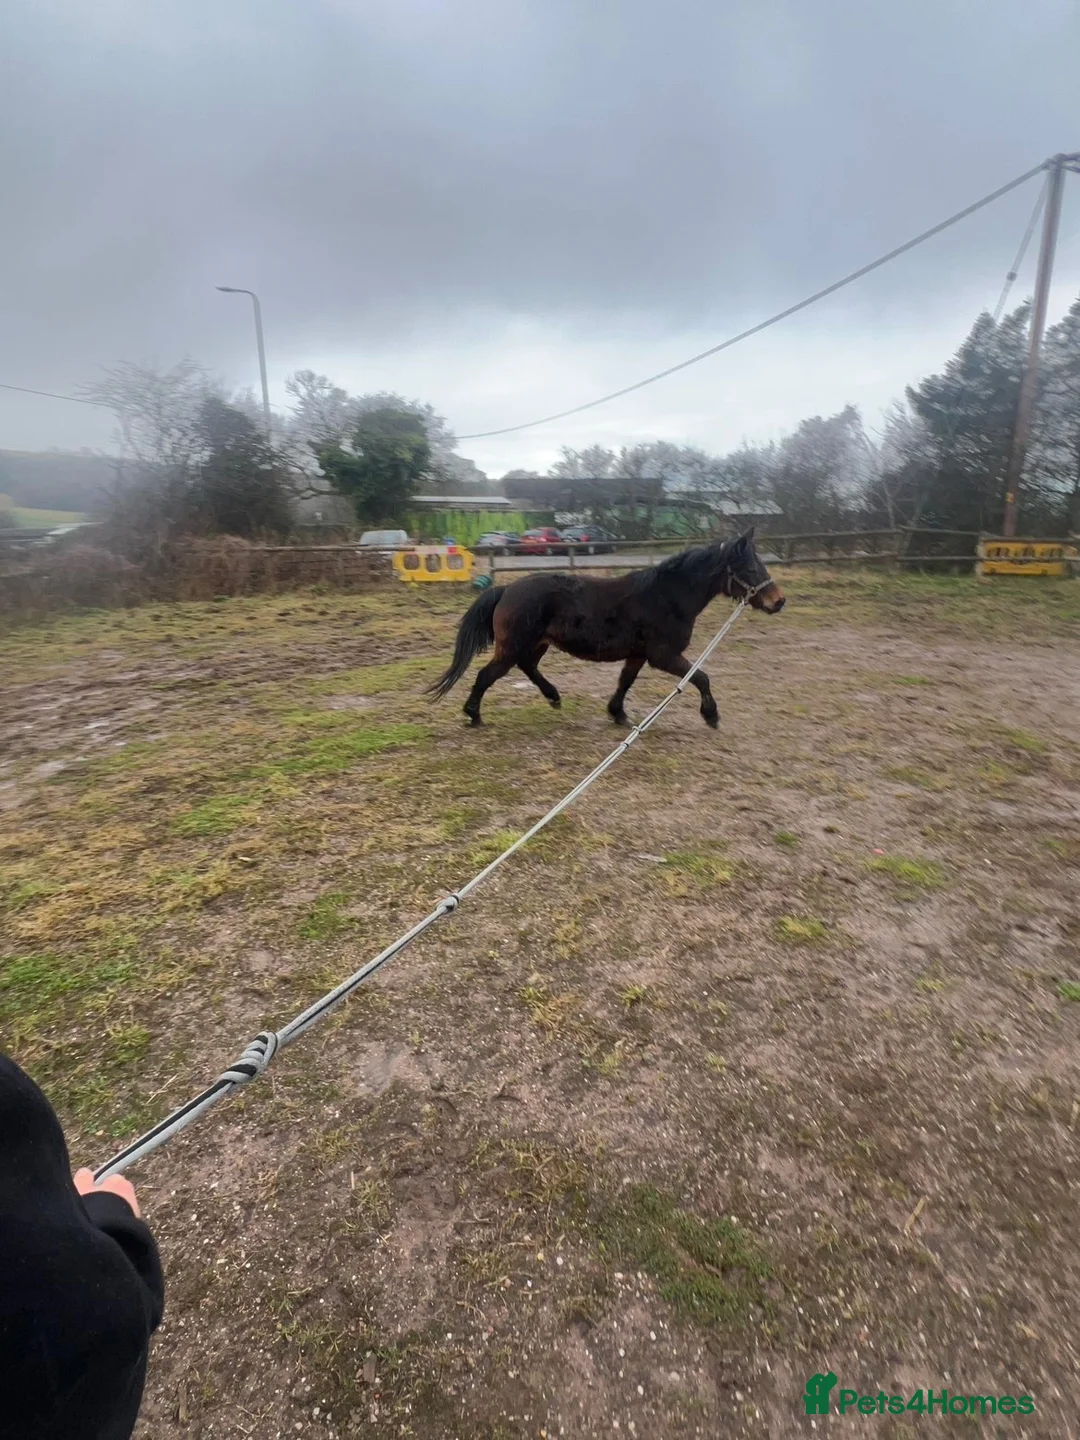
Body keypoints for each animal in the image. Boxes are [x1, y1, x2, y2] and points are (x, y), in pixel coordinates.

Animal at [428, 528, 785, 727]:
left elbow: (625, 682)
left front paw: (617, 714)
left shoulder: (639, 654)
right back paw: (473, 715)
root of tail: (506, 590)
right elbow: (700, 677)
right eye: (750, 568)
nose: (779, 601)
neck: (667, 596)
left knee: (527, 667)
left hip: (536, 644)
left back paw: (553, 697)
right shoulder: (663, 655)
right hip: (513, 647)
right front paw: (711, 716)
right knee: (486, 675)